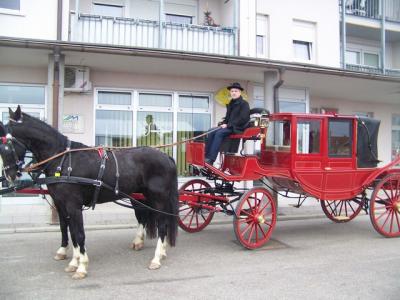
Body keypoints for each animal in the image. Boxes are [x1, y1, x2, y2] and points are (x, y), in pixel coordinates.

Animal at [0, 107, 178, 278]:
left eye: (7, 144)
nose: (9, 175)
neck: (62, 160)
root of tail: (166, 157)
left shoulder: (73, 205)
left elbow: (79, 234)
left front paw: (81, 266)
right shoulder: (60, 203)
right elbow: (68, 230)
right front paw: (73, 261)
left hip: (159, 198)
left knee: (162, 224)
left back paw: (156, 258)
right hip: (141, 196)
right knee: (145, 216)